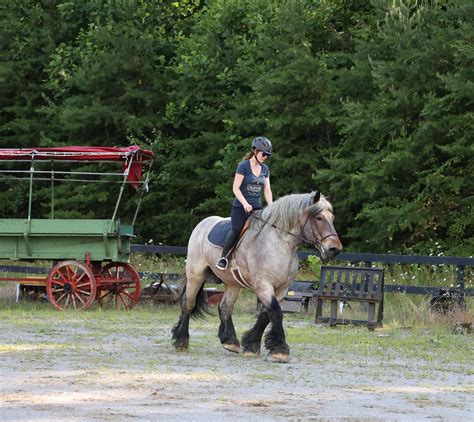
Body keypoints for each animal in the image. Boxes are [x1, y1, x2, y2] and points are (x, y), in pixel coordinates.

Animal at [172, 190, 342, 362]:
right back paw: (181, 340)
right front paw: (280, 350)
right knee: (188, 303)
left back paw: (230, 341)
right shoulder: (263, 285)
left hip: (233, 283)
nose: (335, 249)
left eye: (332, 218)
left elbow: (267, 315)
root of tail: (203, 223)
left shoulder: (282, 289)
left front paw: (251, 345)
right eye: (319, 218)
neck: (279, 243)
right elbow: (275, 312)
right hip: (196, 275)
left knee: (225, 307)